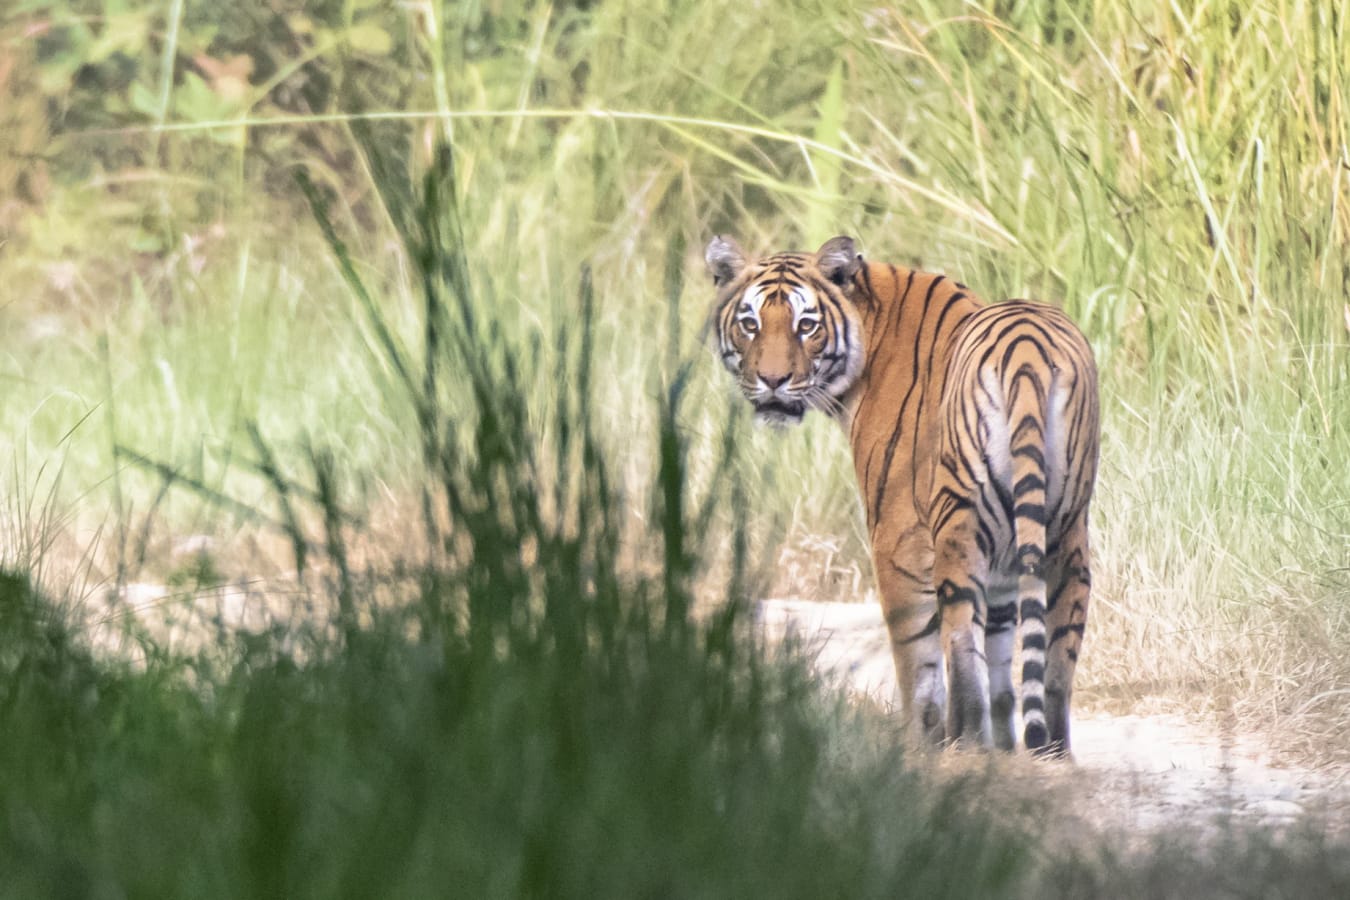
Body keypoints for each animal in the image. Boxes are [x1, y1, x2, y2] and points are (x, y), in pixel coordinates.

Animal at [705, 235, 1099, 755]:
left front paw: (922, 744)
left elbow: (919, 660)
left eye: (806, 325)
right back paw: (1052, 753)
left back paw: (966, 743)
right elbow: (1000, 653)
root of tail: (1028, 351)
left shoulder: (898, 539)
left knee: (958, 641)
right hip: (1067, 533)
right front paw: (1004, 750)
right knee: (1056, 661)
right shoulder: (1003, 563)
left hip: (957, 526)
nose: (772, 382)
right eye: (750, 324)